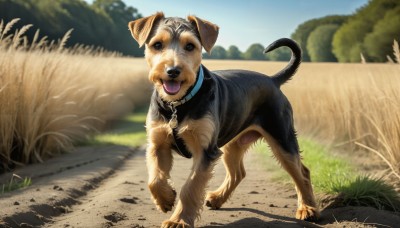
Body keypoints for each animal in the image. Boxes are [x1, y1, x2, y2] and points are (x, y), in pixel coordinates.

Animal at [128, 12, 318, 228]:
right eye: (157, 44)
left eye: (190, 46)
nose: (173, 71)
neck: (178, 105)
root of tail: (273, 80)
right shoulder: (157, 143)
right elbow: (154, 179)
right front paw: (165, 198)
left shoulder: (205, 150)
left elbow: (190, 187)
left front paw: (179, 220)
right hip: (233, 143)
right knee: (238, 173)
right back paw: (217, 198)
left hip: (281, 136)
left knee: (302, 173)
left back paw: (307, 209)